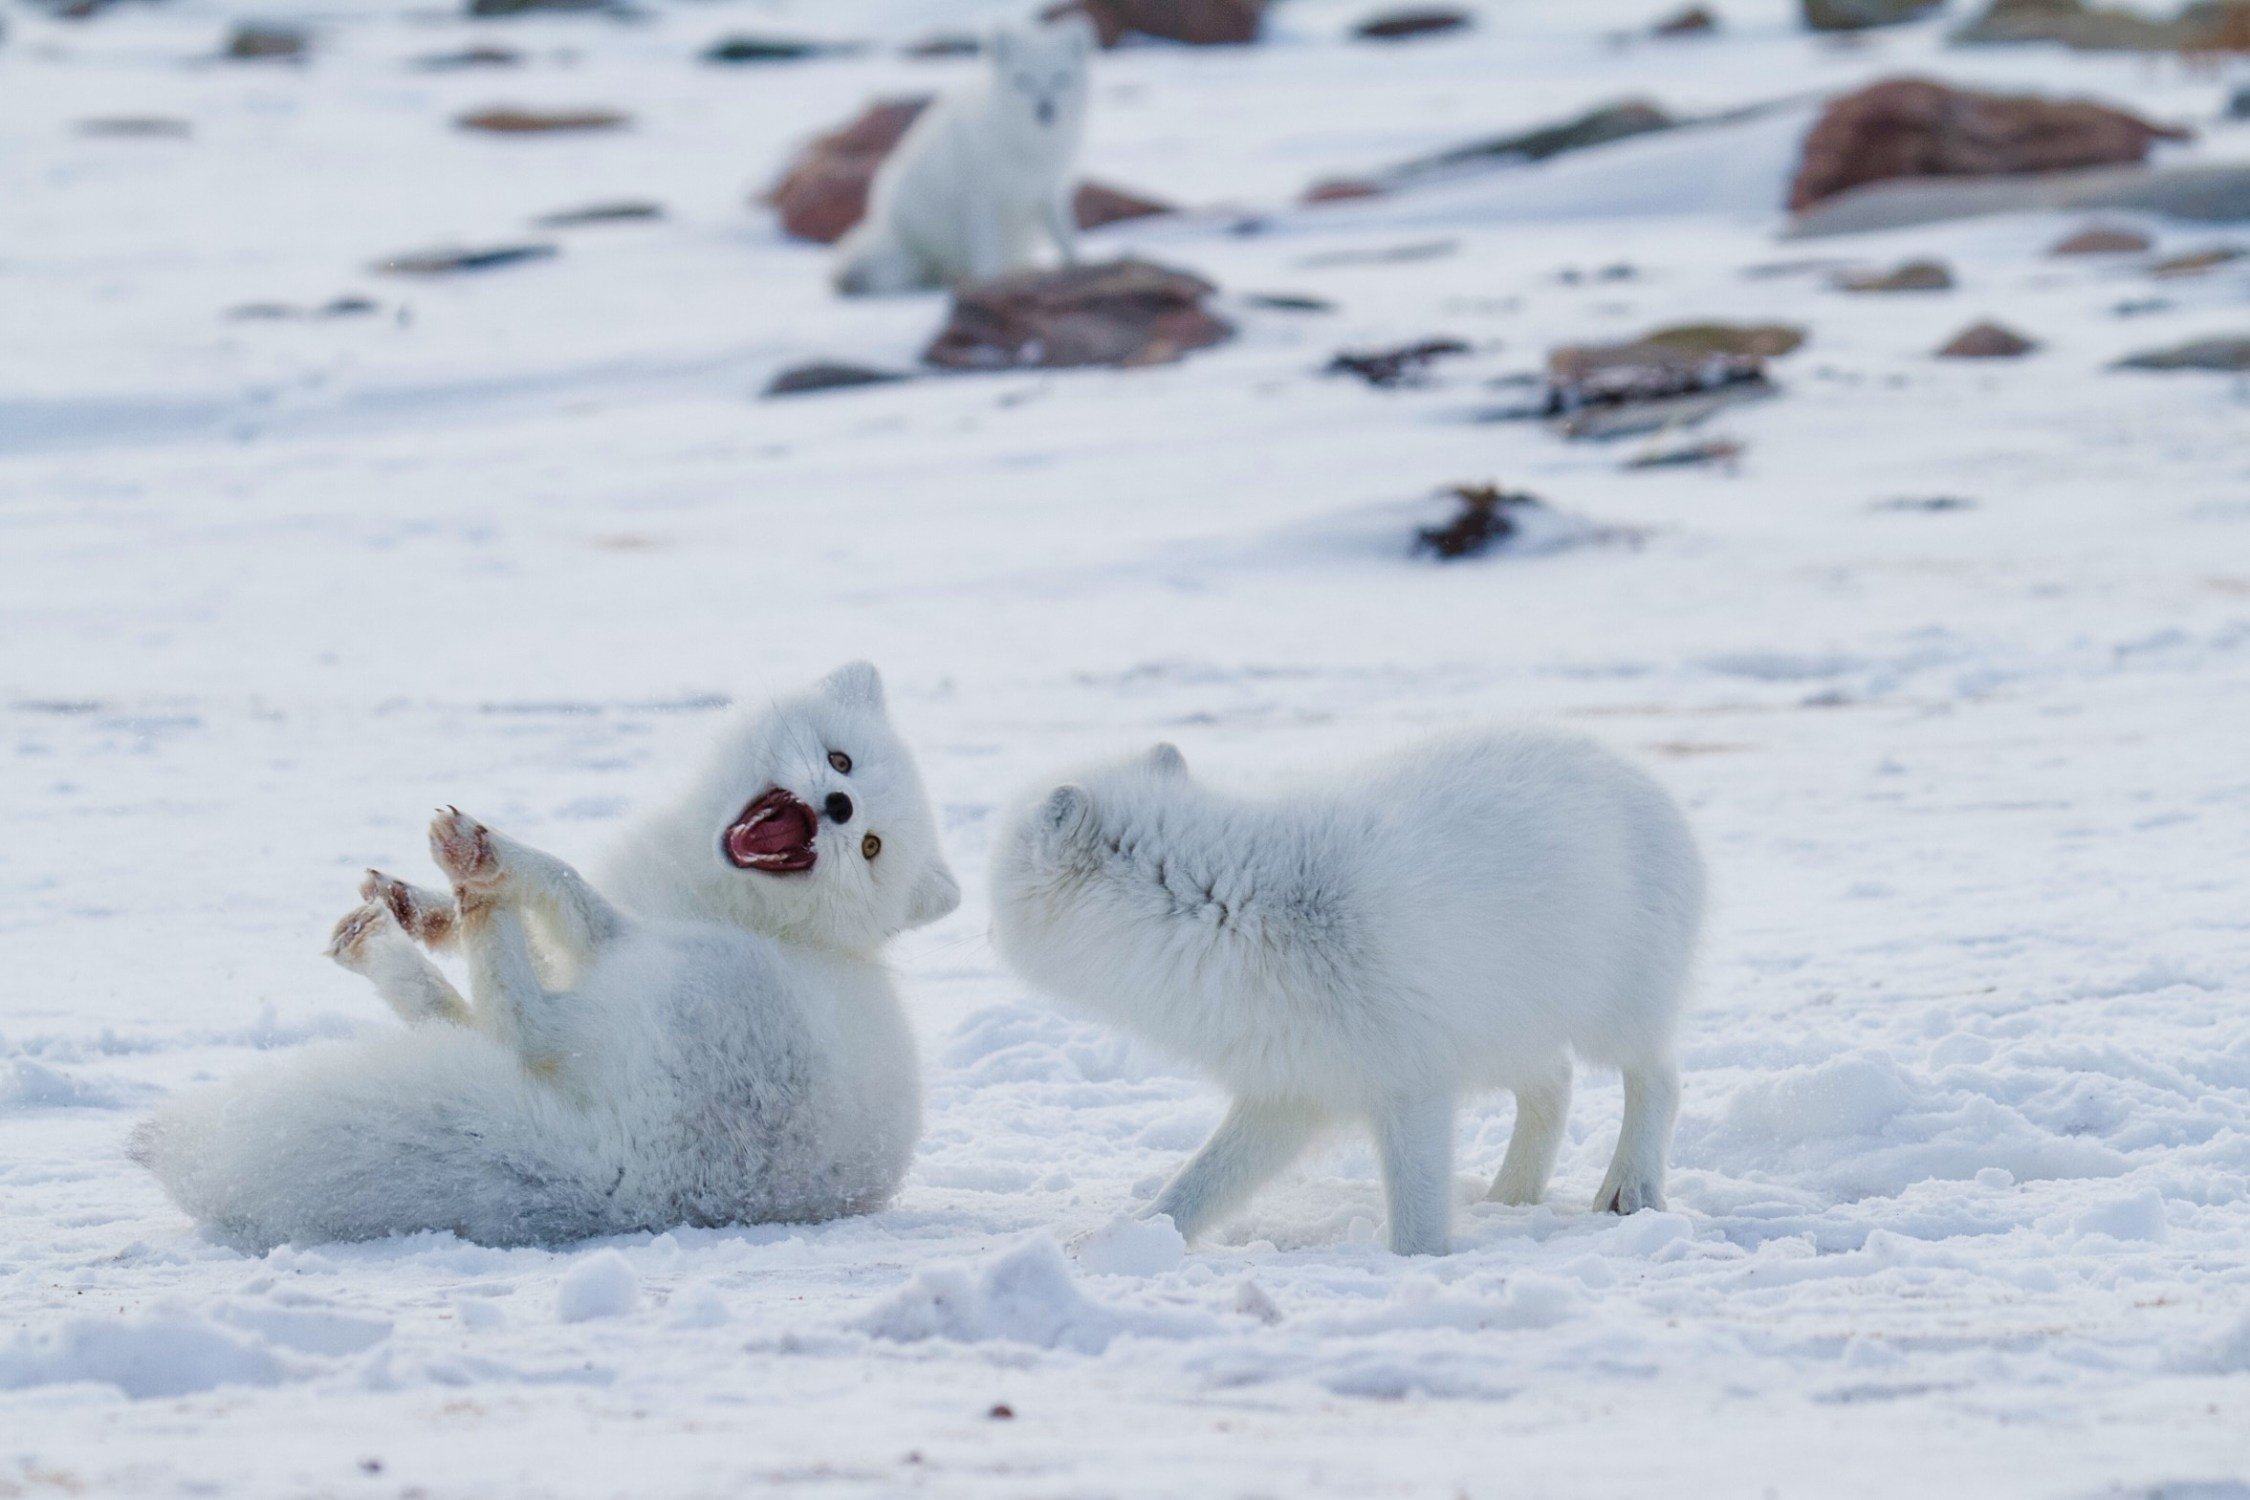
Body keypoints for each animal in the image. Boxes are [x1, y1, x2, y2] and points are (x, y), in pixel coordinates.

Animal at [131, 661, 958, 1250]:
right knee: (476, 1025)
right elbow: (535, 938)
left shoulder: (614, 929)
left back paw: (470, 879)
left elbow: (563, 886)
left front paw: (483, 867)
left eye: (872, 848)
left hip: (675, 972)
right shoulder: (591, 946)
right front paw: (425, 907)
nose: (840, 809)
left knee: (519, 1019)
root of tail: (629, 1186)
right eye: (840, 759)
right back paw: (401, 925)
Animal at [837, 16, 1098, 294]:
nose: (1045, 108)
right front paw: (990, 284)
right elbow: (986, 257)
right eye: (1023, 80)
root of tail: (885, 226)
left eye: (1061, 77)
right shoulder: (979, 199)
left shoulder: (1050, 192)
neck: (1029, 147)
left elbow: (1067, 238)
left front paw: (1077, 268)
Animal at [990, 728, 1701, 1259]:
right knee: (1555, 1086)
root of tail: (1644, 779)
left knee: (1660, 1079)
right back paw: (1510, 1197)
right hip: (1506, 1032)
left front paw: (1421, 1265)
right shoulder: (1289, 1088)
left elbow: (1415, 1209)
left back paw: (1630, 1188)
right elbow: (1199, 1183)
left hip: (1611, 1015)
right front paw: (1130, 1240)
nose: (985, 922)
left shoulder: (1410, 1082)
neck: (1234, 910)